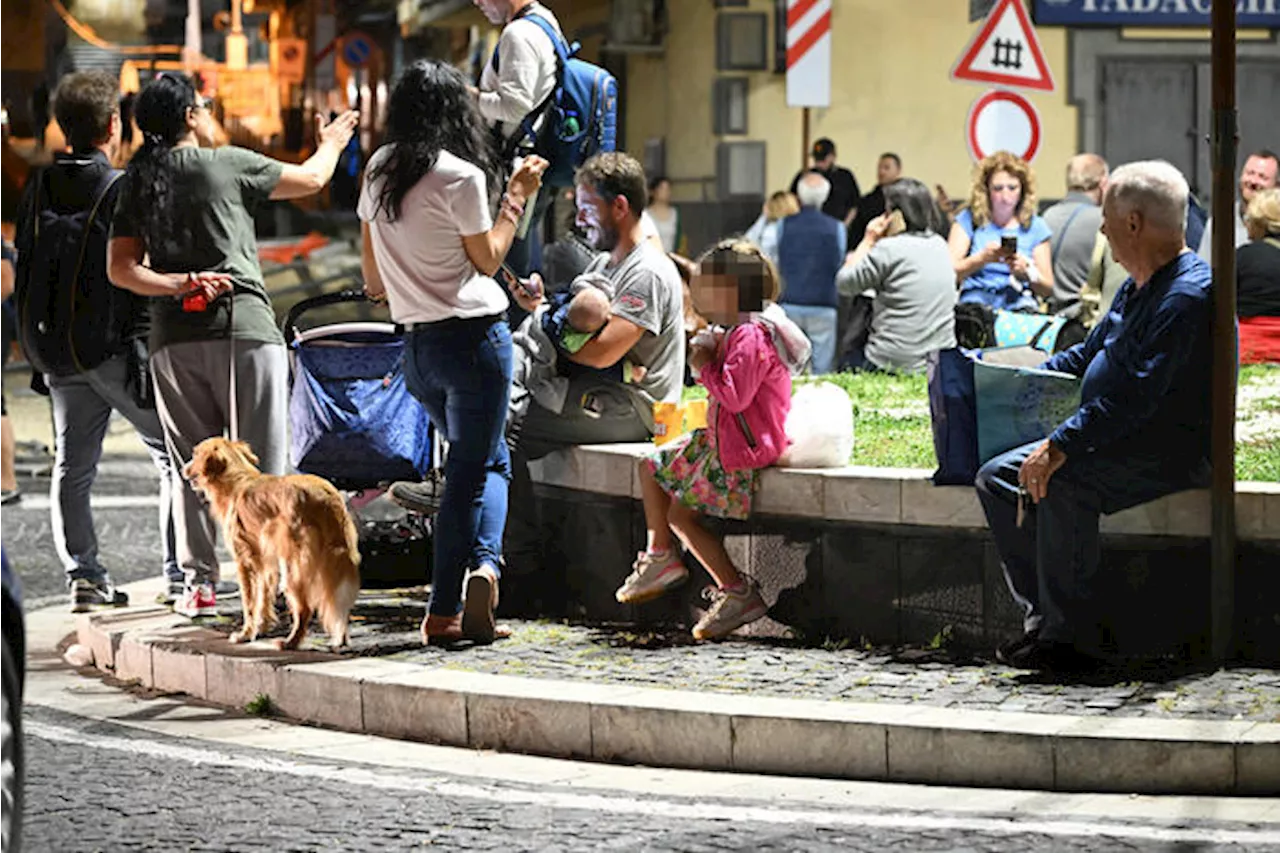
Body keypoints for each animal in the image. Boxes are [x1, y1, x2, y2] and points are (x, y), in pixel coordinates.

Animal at [183, 435, 360, 648]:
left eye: (194, 455)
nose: (182, 468)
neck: (237, 480)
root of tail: (326, 498)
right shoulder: (266, 563)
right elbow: (263, 598)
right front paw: (262, 627)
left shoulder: (245, 562)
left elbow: (249, 604)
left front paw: (245, 634)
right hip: (330, 561)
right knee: (337, 602)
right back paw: (340, 638)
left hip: (293, 567)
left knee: (305, 608)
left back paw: (290, 642)